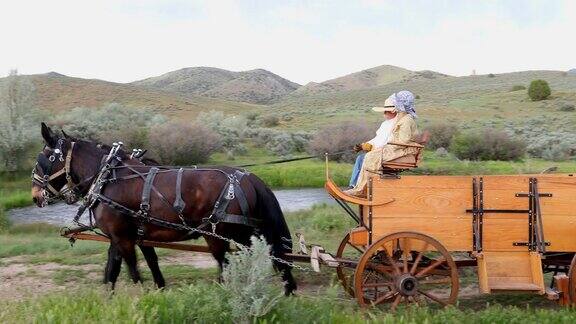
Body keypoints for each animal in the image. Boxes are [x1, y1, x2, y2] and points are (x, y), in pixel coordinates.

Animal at [32, 123, 296, 294]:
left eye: (42, 159)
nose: (34, 195)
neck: (107, 178)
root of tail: (249, 178)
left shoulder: (123, 238)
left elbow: (132, 270)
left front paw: (141, 298)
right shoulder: (129, 236)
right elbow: (117, 269)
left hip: (219, 235)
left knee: (230, 265)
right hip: (247, 234)